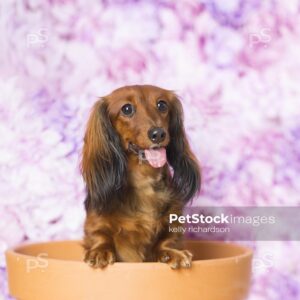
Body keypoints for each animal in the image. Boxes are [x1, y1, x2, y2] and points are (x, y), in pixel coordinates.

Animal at [81, 84, 200, 270]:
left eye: (162, 105)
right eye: (127, 109)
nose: (158, 134)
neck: (143, 181)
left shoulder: (174, 223)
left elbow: (167, 240)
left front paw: (172, 253)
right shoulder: (95, 221)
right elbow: (99, 235)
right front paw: (100, 251)